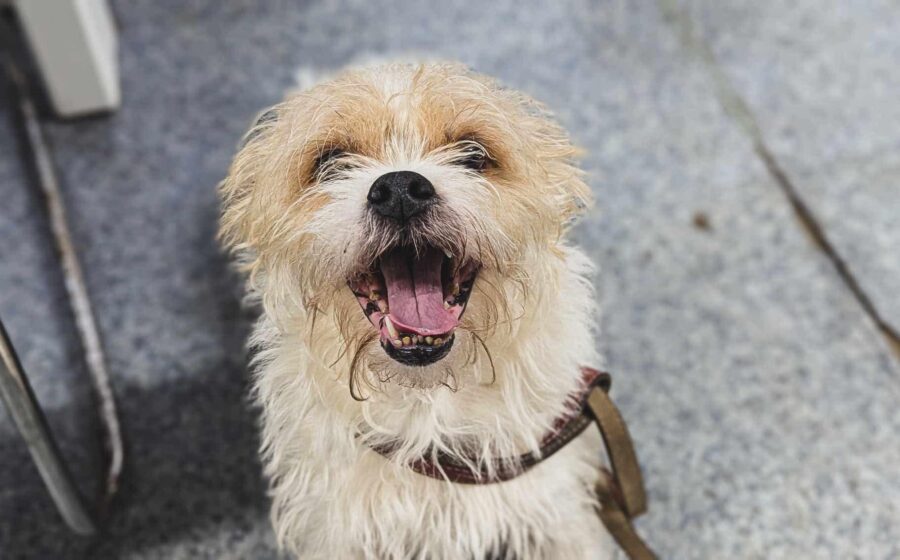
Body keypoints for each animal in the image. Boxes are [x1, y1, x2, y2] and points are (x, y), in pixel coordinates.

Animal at [219, 62, 616, 560]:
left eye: (474, 154)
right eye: (329, 162)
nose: (399, 191)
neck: (428, 403)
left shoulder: (551, 506)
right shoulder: (339, 528)